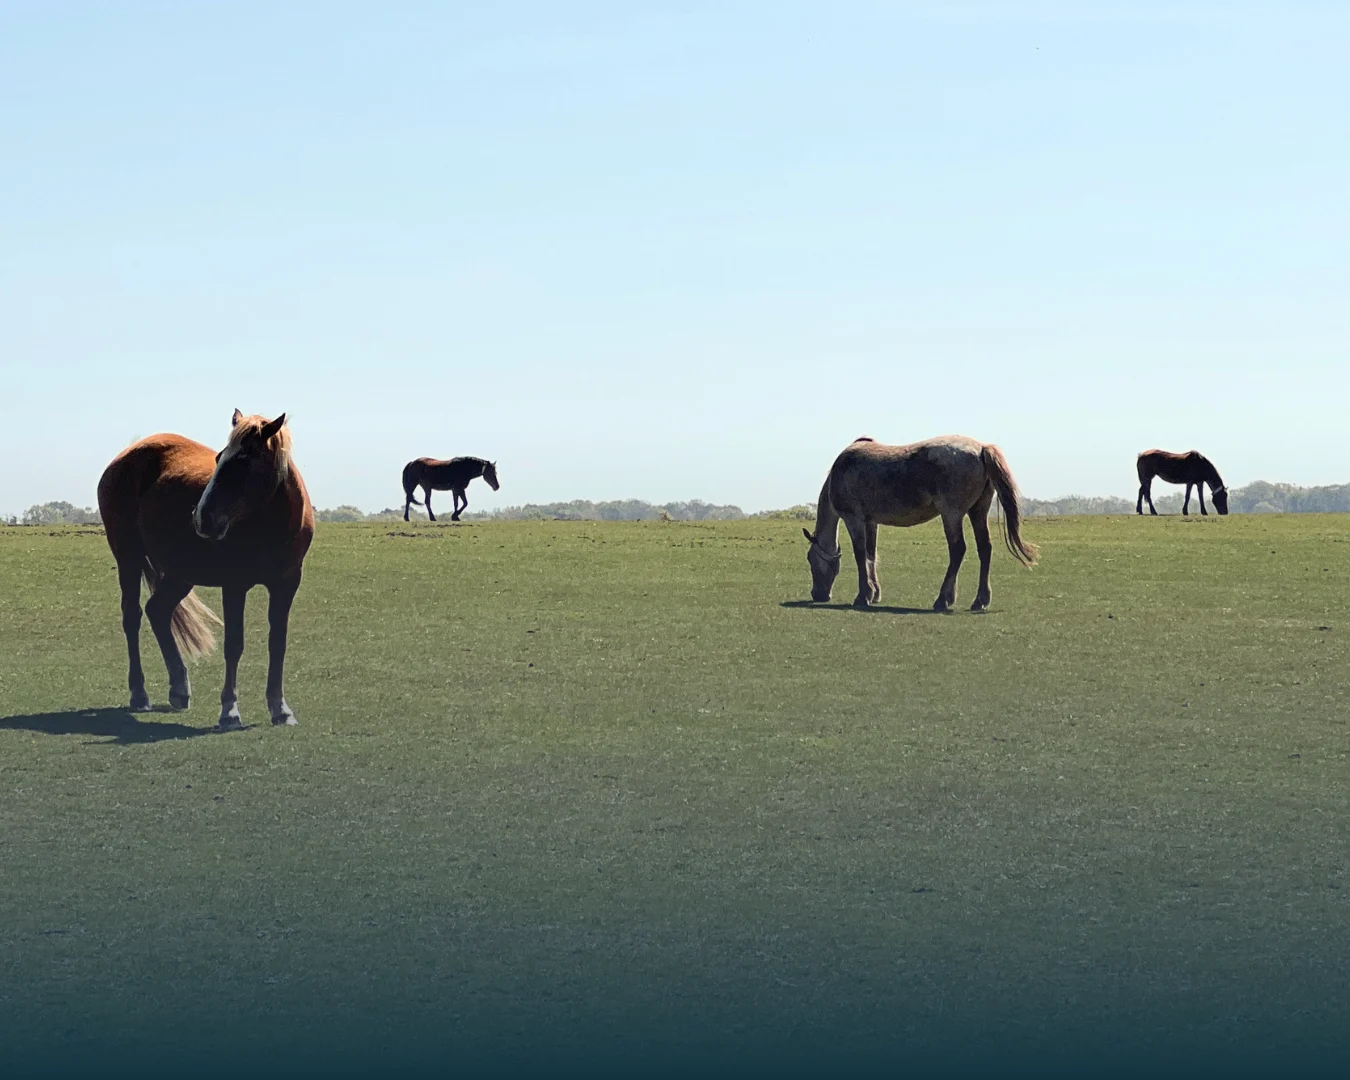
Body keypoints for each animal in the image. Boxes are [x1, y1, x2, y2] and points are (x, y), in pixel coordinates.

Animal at [97, 410, 314, 731]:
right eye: (219, 458)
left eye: (242, 461)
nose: (202, 517)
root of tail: (123, 457)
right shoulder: (234, 584)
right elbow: (233, 644)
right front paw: (229, 711)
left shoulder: (286, 584)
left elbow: (278, 643)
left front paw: (280, 709)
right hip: (129, 557)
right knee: (132, 617)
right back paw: (139, 693)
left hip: (180, 573)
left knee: (157, 610)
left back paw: (179, 688)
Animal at [803, 435, 1038, 611]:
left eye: (811, 560)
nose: (817, 594)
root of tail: (981, 448)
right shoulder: (870, 522)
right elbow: (871, 555)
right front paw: (874, 593)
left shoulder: (854, 519)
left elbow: (861, 556)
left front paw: (863, 596)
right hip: (977, 511)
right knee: (984, 549)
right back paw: (980, 600)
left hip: (951, 514)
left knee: (958, 550)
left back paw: (943, 599)